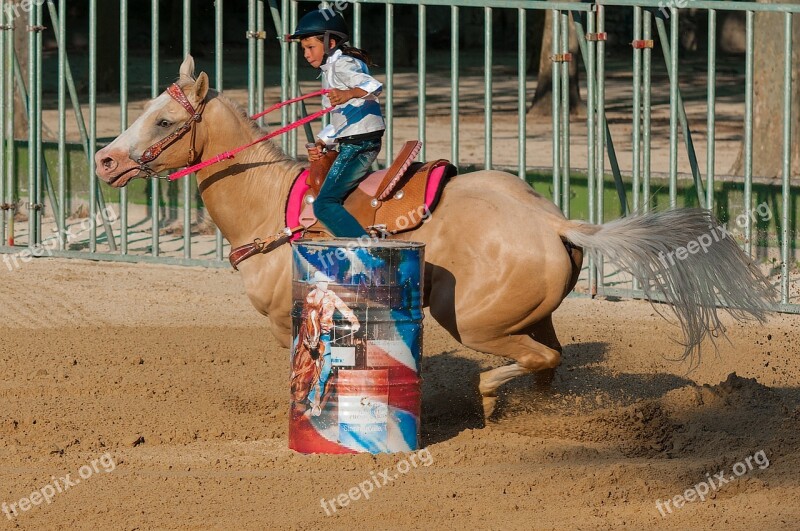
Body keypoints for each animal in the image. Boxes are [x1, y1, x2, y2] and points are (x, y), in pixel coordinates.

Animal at [95, 57, 776, 416]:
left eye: (164, 120)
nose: (103, 160)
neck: (270, 207)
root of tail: (553, 221)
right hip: (531, 313)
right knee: (550, 363)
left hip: (471, 319)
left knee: (538, 360)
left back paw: (488, 398)